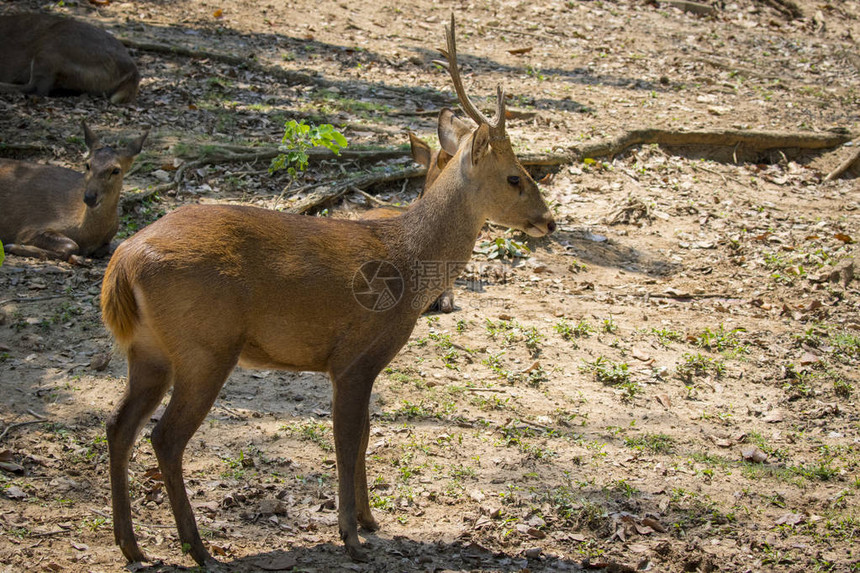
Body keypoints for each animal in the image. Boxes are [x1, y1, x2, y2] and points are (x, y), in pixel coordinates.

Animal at [0, 124, 148, 262]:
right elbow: (72, 246)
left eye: (116, 170)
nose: (89, 197)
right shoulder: (30, 227)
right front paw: (14, 246)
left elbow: (104, 249)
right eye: (87, 165)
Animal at [101, 15, 556, 564]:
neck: (410, 262)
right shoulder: (354, 354)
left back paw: (132, 546)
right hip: (205, 346)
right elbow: (346, 440)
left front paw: (370, 519)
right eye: (515, 177)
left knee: (118, 426)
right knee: (165, 437)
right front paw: (351, 536)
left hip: (149, 350)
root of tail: (124, 261)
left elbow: (362, 438)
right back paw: (197, 547)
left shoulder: (363, 363)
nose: (549, 221)